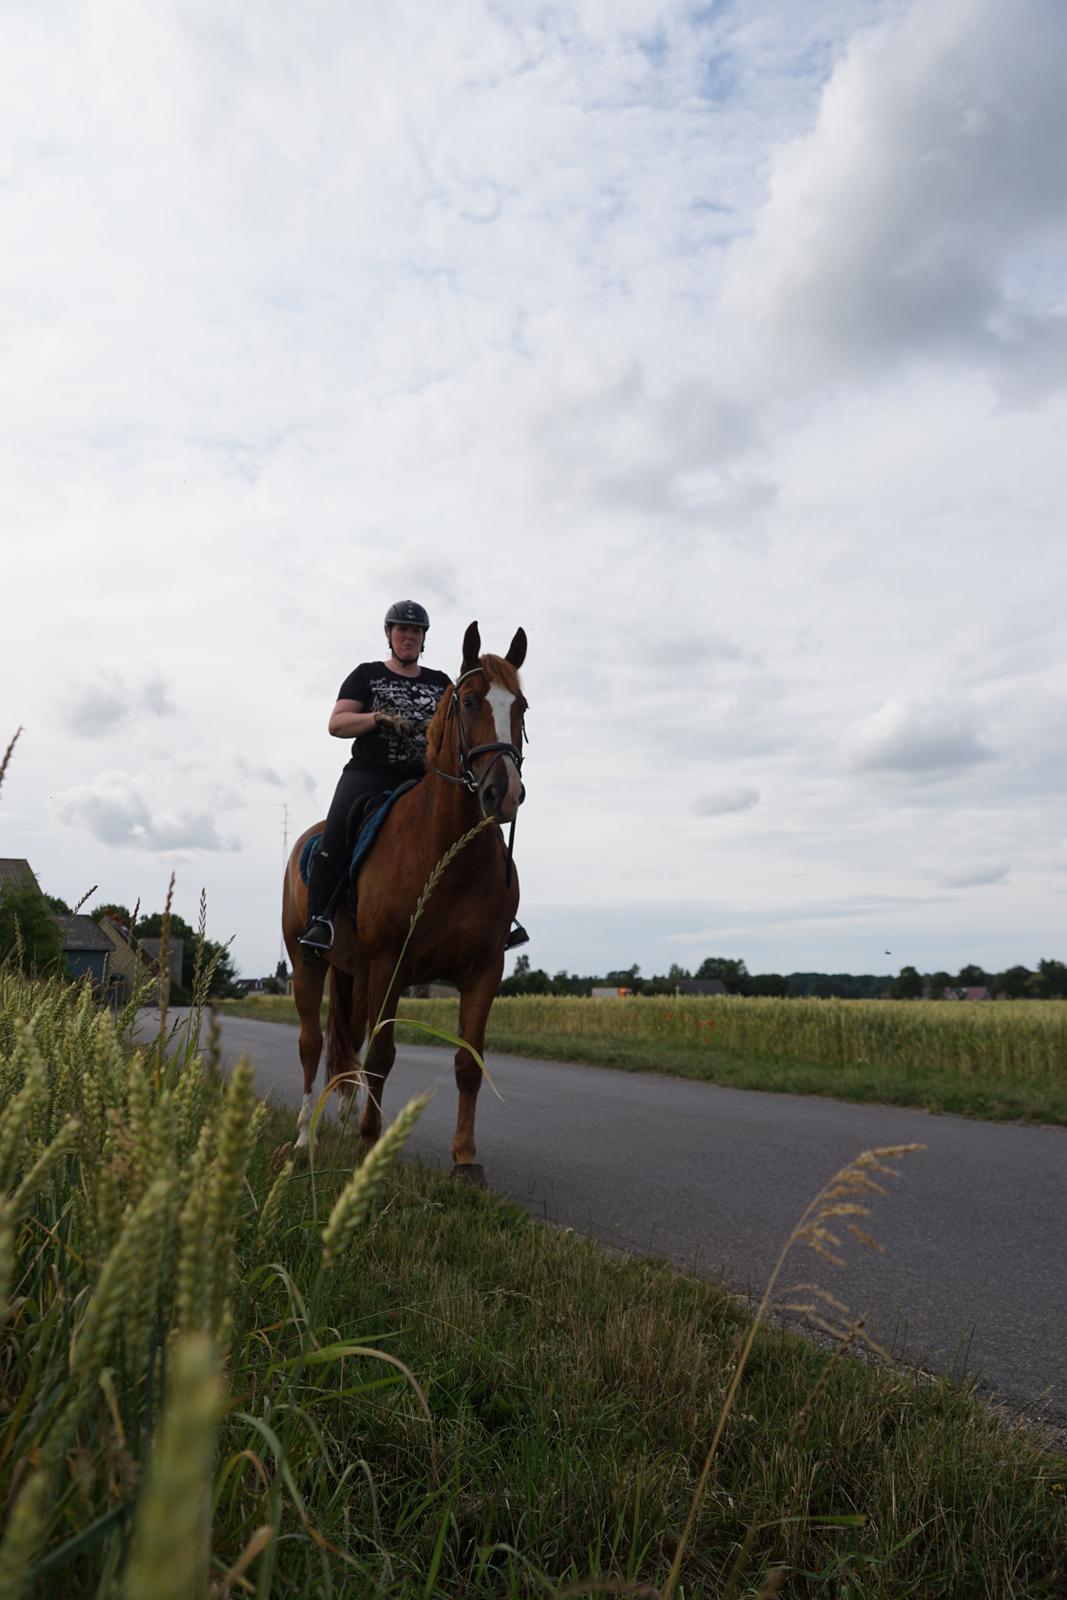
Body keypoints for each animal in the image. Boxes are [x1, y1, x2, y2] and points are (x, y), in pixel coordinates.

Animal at [281, 617, 527, 1184]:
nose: (503, 794)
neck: (447, 853)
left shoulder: (486, 968)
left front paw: (465, 1159)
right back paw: (306, 1136)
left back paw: (342, 1117)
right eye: (469, 702)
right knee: (312, 1044)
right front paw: (370, 1144)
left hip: (351, 972)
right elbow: (382, 1055)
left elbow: (468, 1062)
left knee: (347, 1041)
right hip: (308, 962)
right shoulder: (389, 963)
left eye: (521, 707)